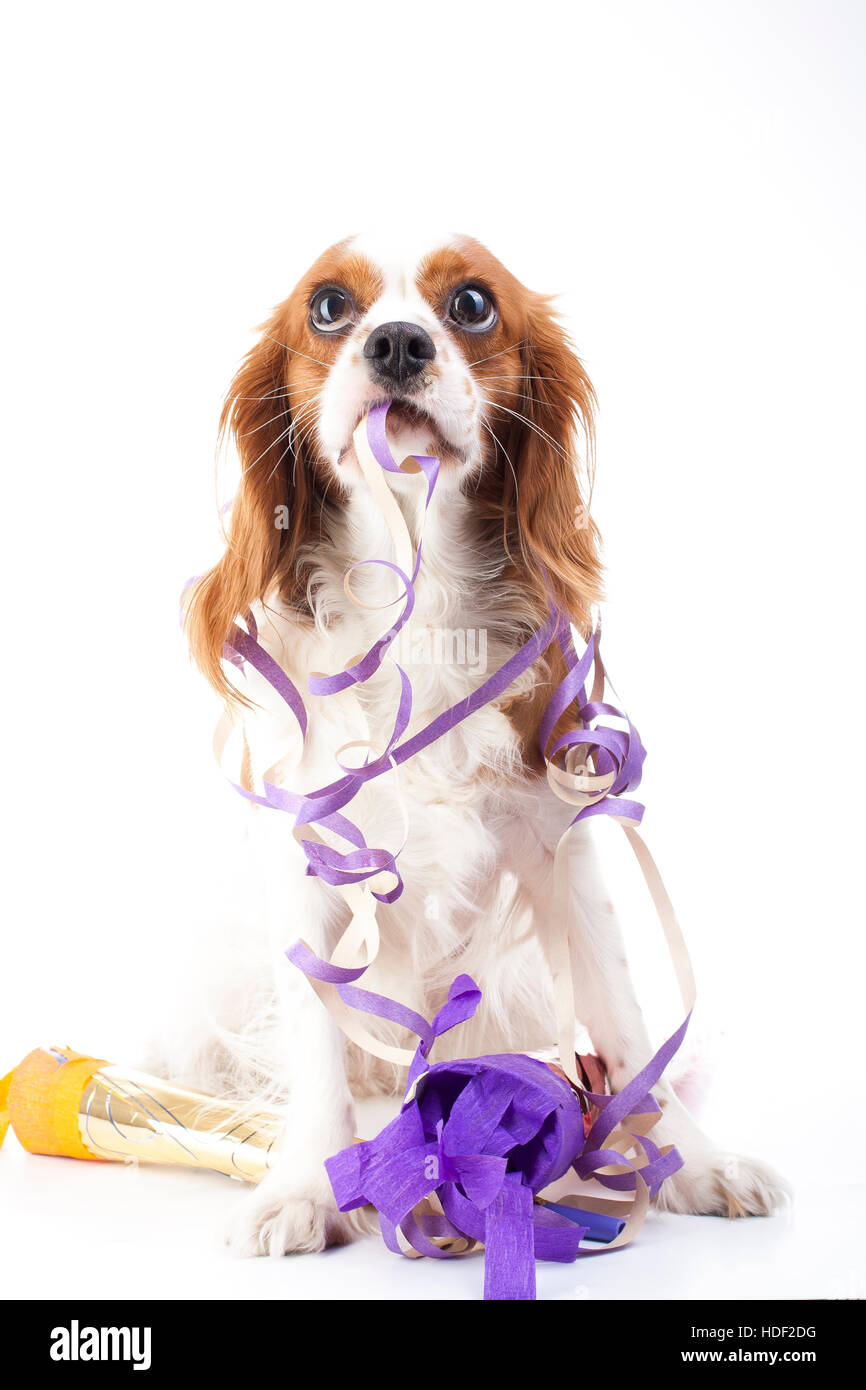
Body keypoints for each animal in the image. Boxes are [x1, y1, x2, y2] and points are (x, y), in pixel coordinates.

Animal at [174, 233, 783, 1256]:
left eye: (470, 304)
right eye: (329, 307)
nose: (396, 343)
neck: (417, 602)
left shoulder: (561, 845)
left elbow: (626, 1022)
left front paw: (691, 1161)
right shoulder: (310, 857)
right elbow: (313, 1031)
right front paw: (306, 1182)